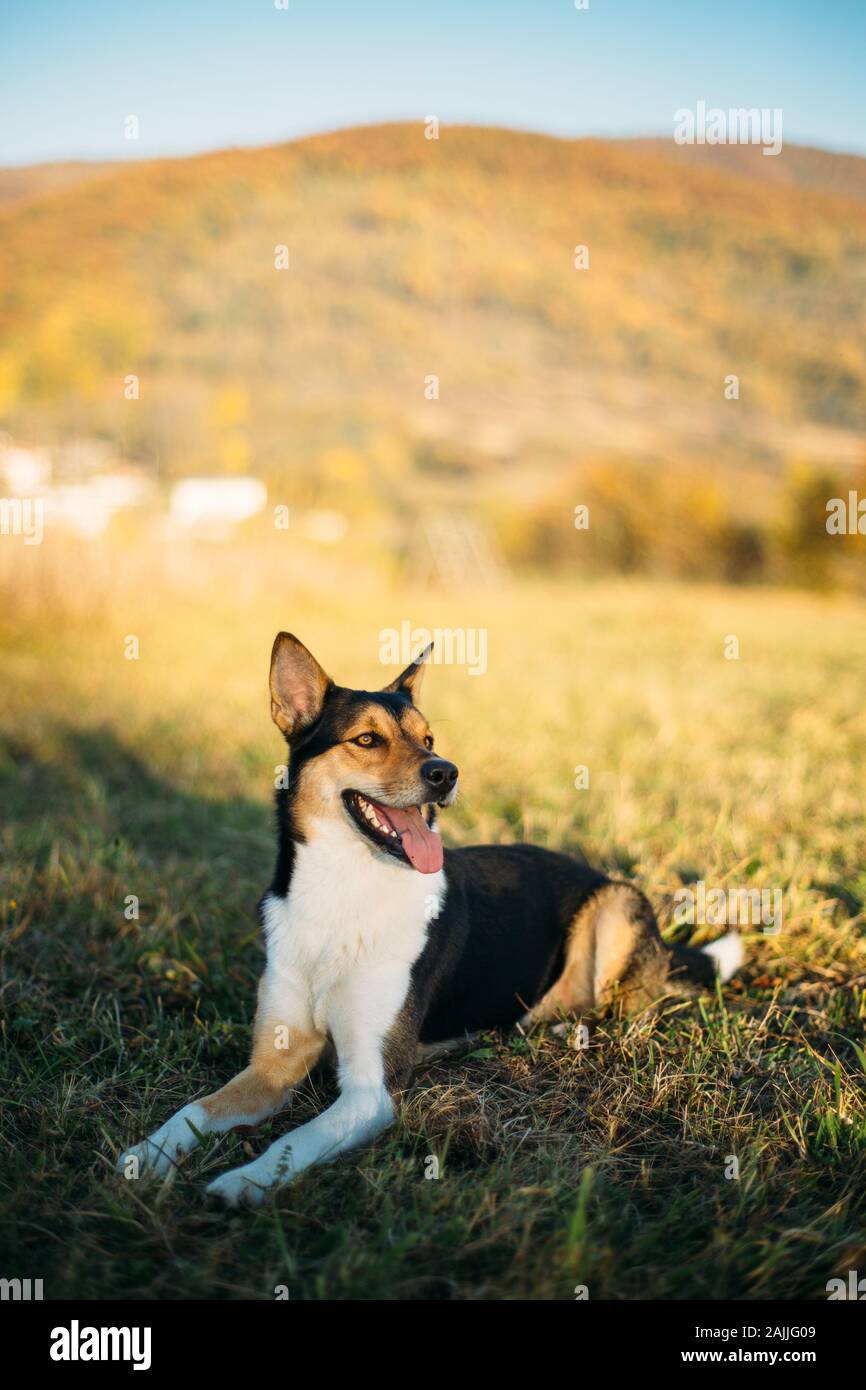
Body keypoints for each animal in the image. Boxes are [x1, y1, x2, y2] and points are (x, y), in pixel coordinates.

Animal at [118, 636, 745, 1200]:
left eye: (429, 740)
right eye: (366, 739)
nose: (446, 772)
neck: (344, 890)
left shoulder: (369, 1090)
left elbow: (290, 1142)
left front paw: (241, 1182)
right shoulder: (274, 1063)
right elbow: (193, 1110)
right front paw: (143, 1156)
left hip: (615, 905)